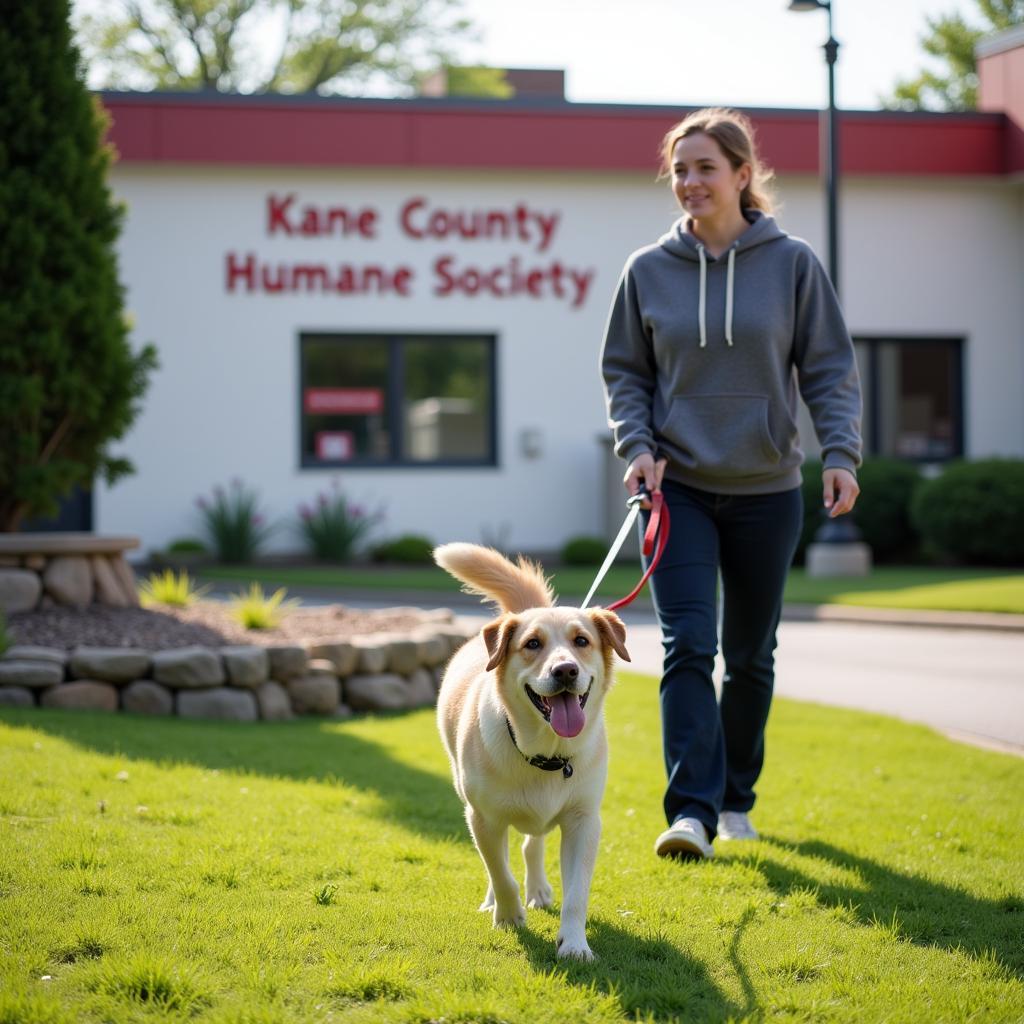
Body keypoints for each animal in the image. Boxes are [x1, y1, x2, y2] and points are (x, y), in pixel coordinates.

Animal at [430, 544, 626, 958]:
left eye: (581, 641)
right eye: (532, 644)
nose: (565, 670)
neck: (547, 755)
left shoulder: (584, 821)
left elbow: (577, 893)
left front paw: (574, 943)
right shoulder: (483, 818)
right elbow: (499, 871)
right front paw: (508, 916)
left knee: (531, 845)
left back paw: (537, 889)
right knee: (500, 860)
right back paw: (497, 901)